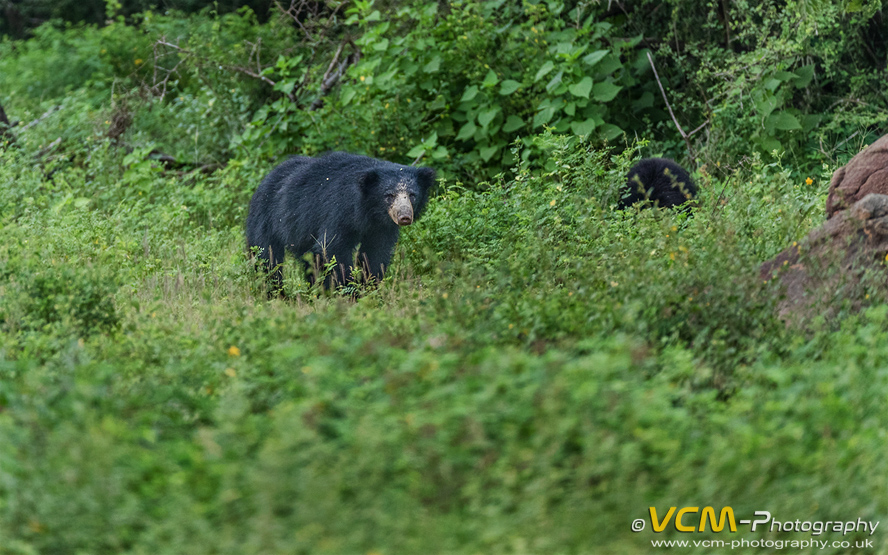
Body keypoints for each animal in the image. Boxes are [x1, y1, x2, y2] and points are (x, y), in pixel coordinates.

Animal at [246, 152, 438, 292]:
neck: (368, 212)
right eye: (389, 195)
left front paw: (369, 287)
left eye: (412, 195)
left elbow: (375, 253)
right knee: (266, 256)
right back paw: (274, 292)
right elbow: (332, 249)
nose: (404, 217)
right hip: (267, 217)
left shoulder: (381, 227)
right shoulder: (338, 212)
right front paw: (348, 290)